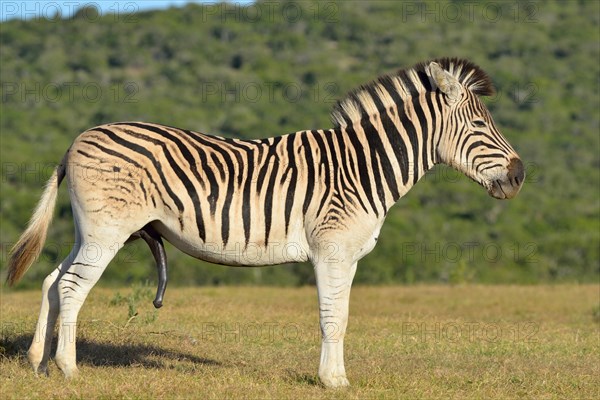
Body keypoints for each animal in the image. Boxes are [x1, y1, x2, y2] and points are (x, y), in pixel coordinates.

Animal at [4, 59, 524, 388]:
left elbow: (342, 317)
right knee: (73, 288)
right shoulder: (332, 250)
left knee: (53, 280)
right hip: (107, 232)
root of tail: (78, 140)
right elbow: (332, 318)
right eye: (480, 127)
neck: (362, 168)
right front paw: (333, 381)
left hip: (91, 232)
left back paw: (38, 363)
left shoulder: (350, 255)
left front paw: (336, 376)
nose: (520, 176)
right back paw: (69, 370)